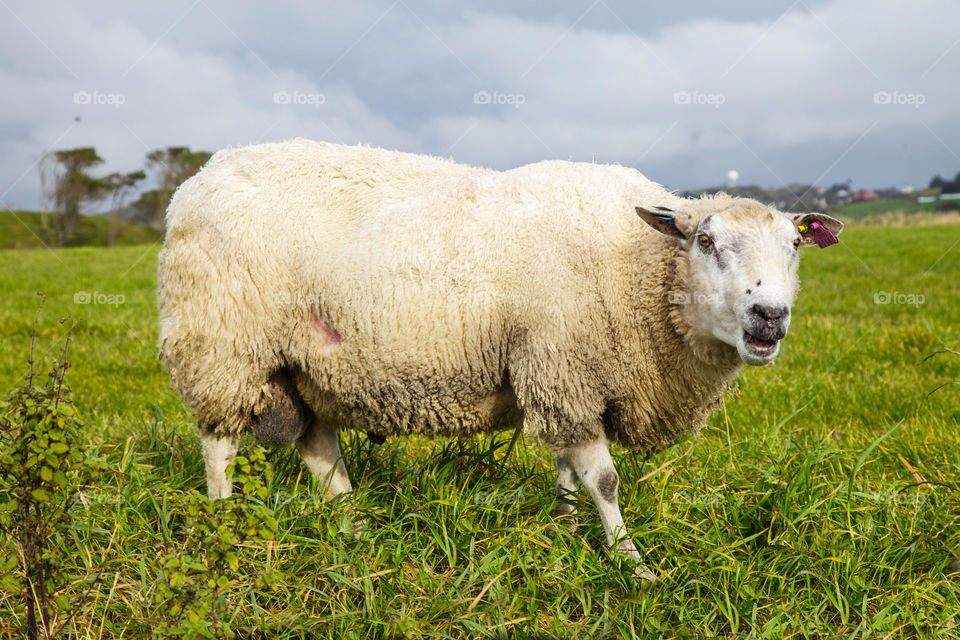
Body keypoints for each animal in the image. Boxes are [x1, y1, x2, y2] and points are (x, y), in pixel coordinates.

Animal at [158, 140, 840, 580]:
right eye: (705, 240)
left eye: (794, 246)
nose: (769, 316)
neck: (635, 264)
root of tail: (199, 177)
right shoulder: (564, 366)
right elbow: (604, 479)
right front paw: (633, 566)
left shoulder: (564, 376)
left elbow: (570, 471)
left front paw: (566, 533)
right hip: (221, 344)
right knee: (219, 444)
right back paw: (222, 526)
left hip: (306, 366)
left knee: (321, 451)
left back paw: (352, 532)